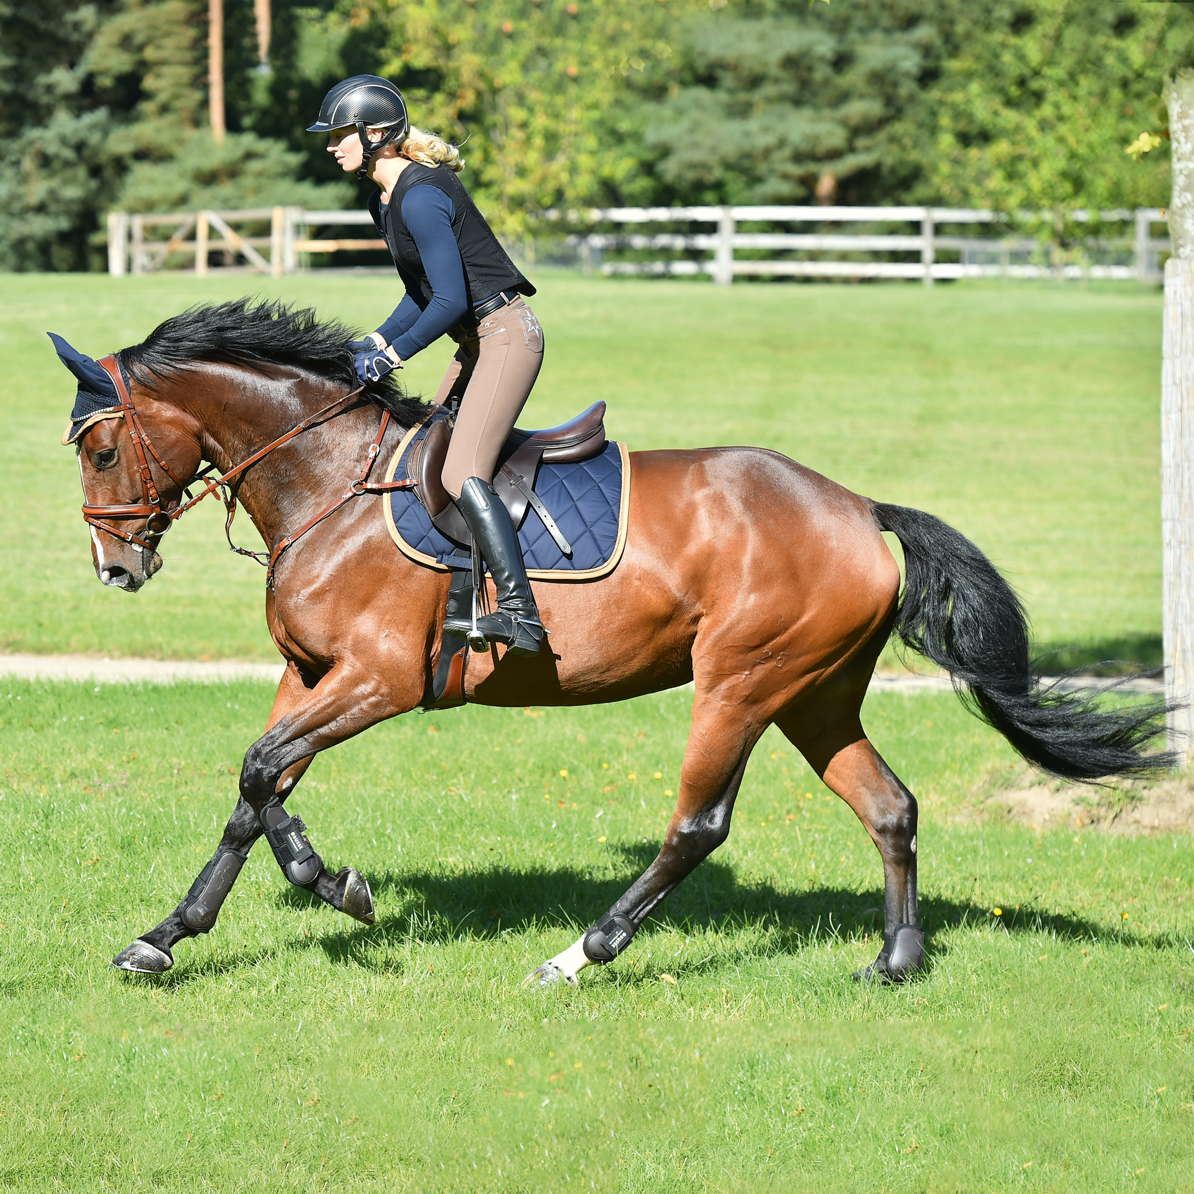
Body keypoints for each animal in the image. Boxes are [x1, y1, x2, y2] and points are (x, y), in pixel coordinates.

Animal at [60, 300, 1170, 988]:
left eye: (102, 449)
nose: (113, 568)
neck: (331, 482)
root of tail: (859, 508)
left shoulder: (377, 680)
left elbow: (261, 776)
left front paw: (336, 888)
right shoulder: (310, 677)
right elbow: (256, 790)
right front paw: (170, 936)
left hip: (740, 682)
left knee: (698, 825)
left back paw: (580, 955)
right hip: (815, 694)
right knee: (889, 806)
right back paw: (895, 960)